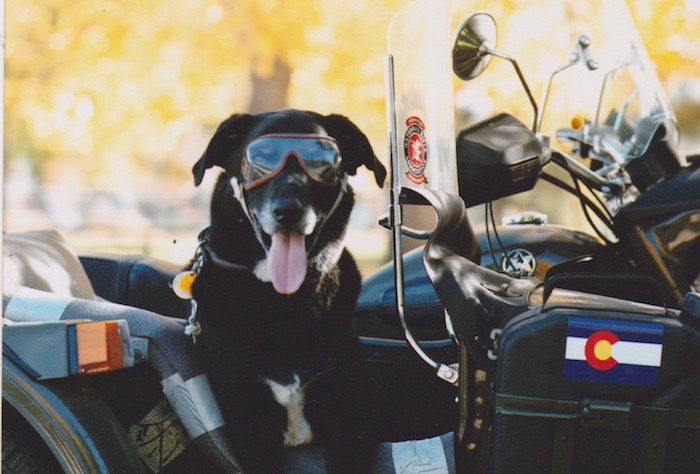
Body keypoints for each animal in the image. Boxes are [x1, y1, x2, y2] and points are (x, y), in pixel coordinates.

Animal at [189, 109, 386, 472]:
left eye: (324, 163)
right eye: (260, 160)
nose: (288, 211)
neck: (283, 303)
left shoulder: (352, 421)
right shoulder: (248, 424)